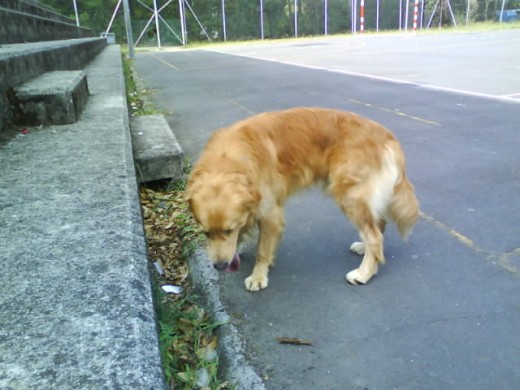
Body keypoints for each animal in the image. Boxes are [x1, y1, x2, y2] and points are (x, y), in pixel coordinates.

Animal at [186, 108, 418, 290]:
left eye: (228, 230)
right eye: (206, 233)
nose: (219, 266)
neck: (228, 160)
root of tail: (386, 135)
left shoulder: (270, 212)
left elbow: (262, 250)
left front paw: (258, 276)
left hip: (349, 196)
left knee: (375, 236)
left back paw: (364, 273)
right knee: (378, 225)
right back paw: (364, 250)